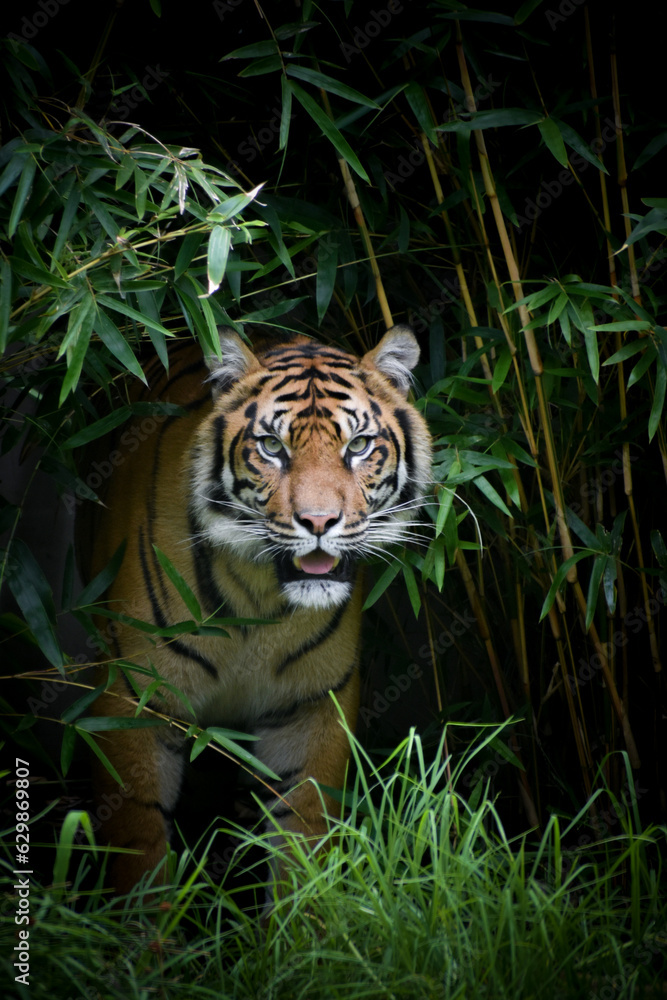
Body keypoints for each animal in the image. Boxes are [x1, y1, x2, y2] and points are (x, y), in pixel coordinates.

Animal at [79, 325, 432, 895]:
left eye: (358, 446)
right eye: (271, 446)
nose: (319, 521)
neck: (259, 598)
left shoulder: (312, 708)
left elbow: (303, 840)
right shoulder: (134, 699)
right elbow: (138, 839)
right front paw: (145, 915)